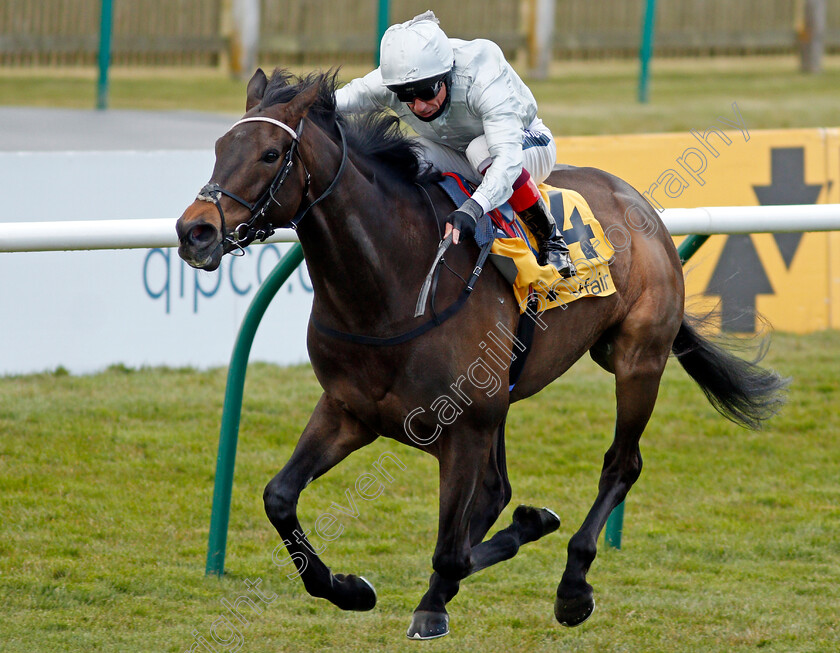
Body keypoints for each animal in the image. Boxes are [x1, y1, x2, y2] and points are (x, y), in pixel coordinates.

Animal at [174, 70, 784, 636]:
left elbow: (450, 547)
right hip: (508, 396)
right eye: (219, 148)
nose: (193, 232)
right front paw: (349, 588)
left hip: (637, 359)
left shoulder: (463, 428)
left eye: (270, 153)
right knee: (498, 493)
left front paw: (432, 606)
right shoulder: (350, 411)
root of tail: (640, 205)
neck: (390, 288)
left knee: (621, 463)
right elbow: (279, 497)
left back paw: (573, 586)